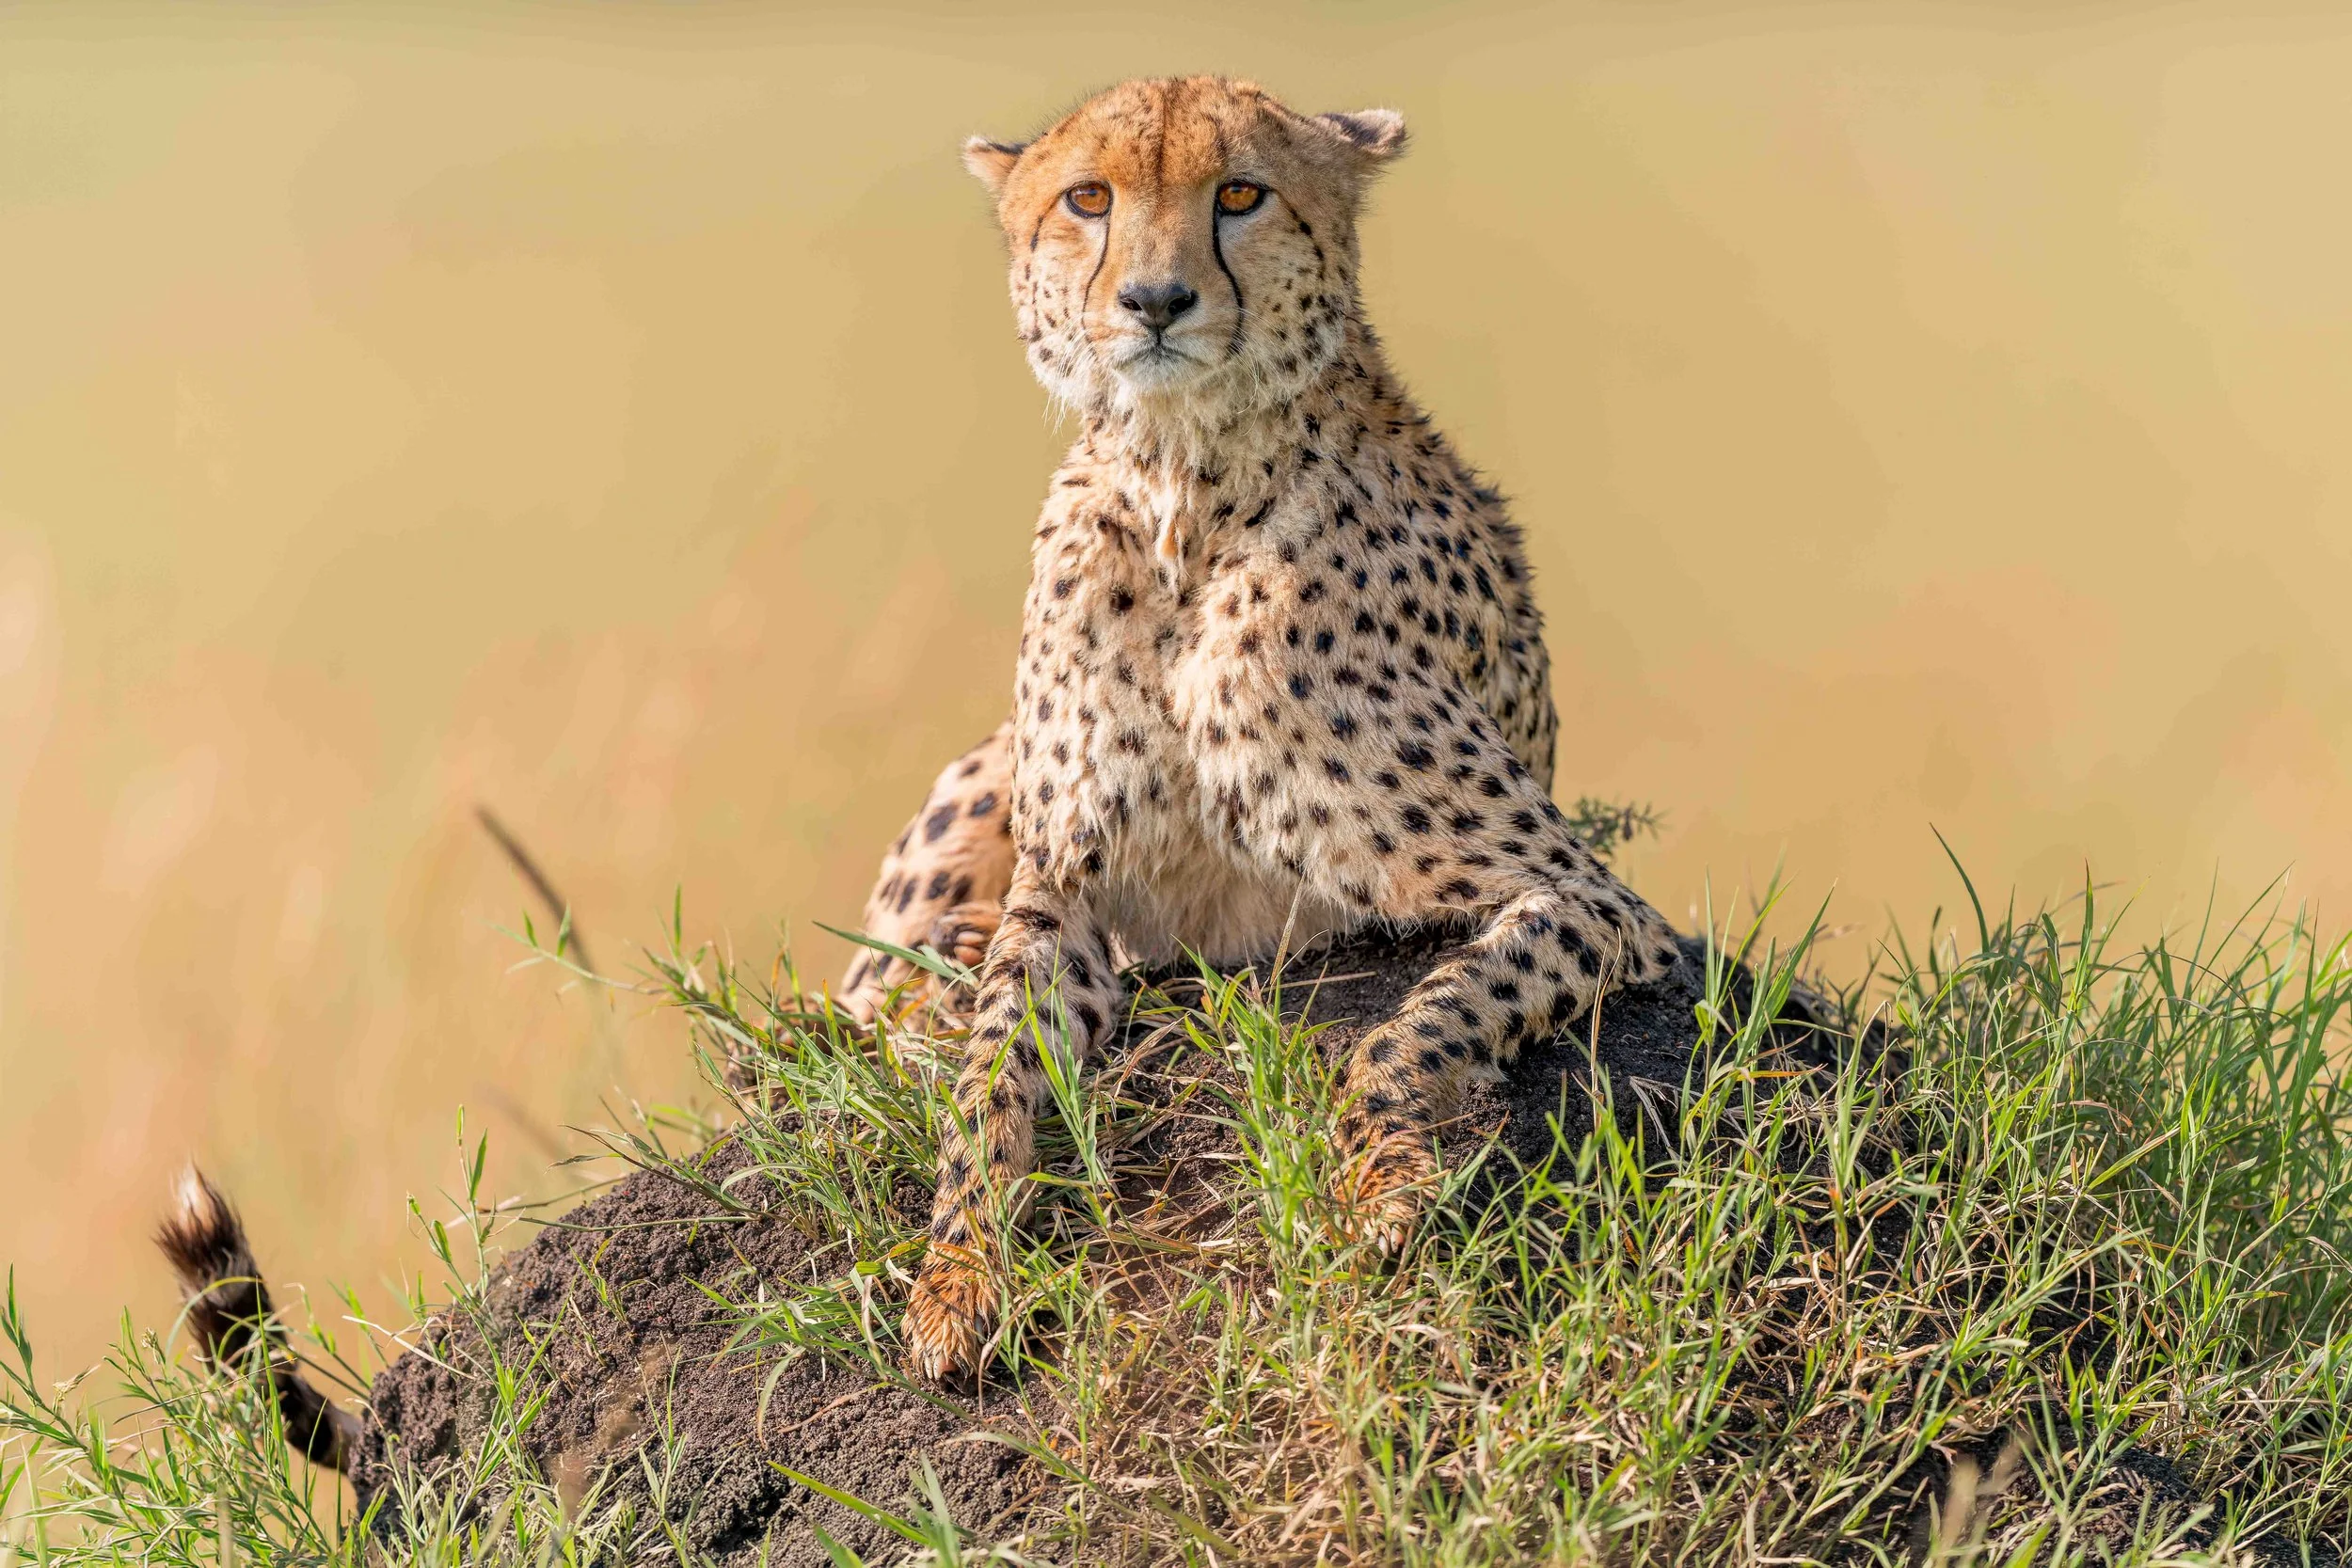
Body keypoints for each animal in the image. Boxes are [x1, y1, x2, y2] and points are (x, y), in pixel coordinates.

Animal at [834, 75, 1684, 1382]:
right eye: (1089, 199)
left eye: (1239, 193)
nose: (1155, 300)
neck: (1185, 486)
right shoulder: (1065, 889)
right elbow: (987, 1081)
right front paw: (956, 1278)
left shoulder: (1592, 898)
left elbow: (1416, 1024)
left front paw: (1383, 1181)